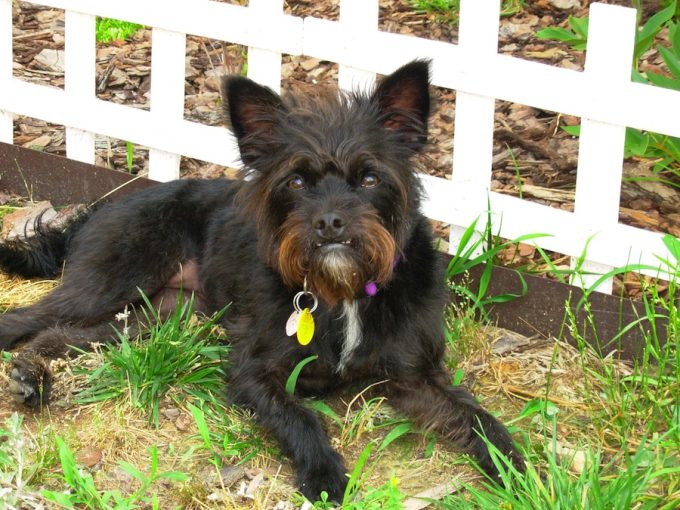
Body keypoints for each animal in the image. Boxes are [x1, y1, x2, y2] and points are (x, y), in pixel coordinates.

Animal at [0, 58, 520, 498]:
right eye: (296, 181)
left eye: (370, 178)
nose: (330, 223)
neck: (343, 290)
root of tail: (98, 207)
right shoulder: (255, 371)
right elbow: (299, 418)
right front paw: (324, 474)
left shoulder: (416, 377)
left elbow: (477, 419)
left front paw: (516, 468)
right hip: (113, 282)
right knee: (27, 317)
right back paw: (26, 370)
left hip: (157, 317)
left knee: (61, 333)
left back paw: (32, 374)